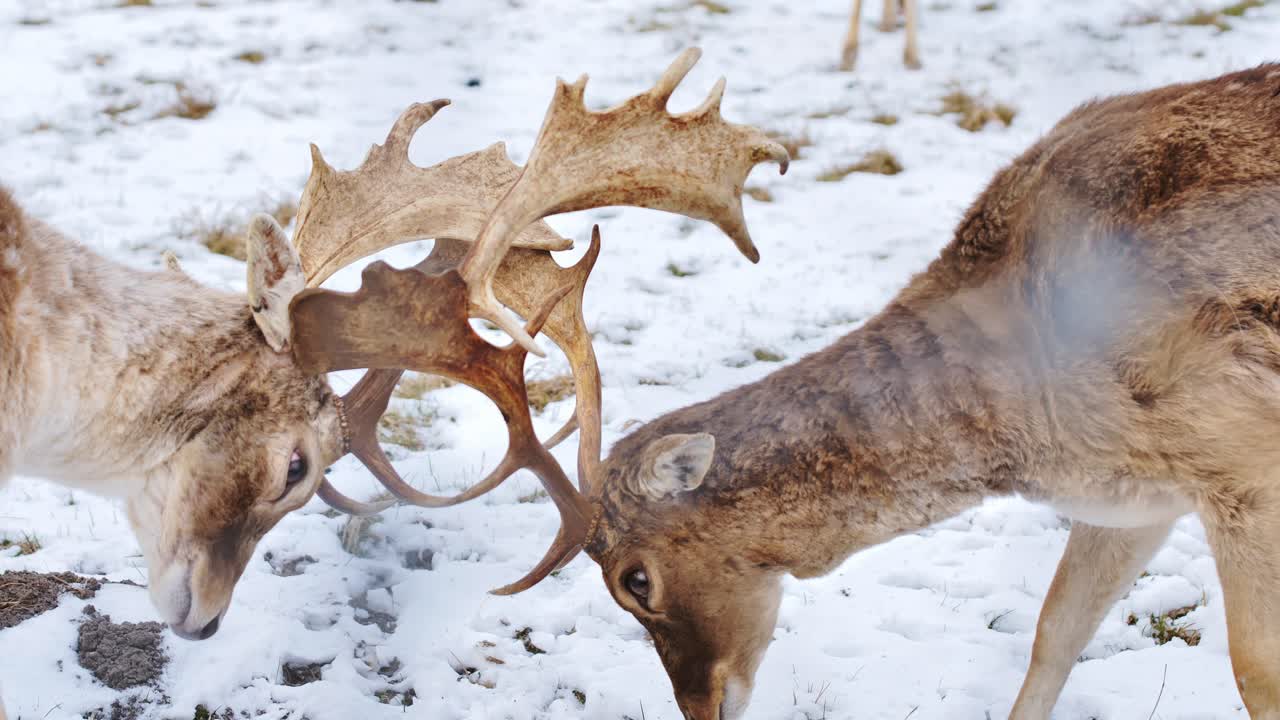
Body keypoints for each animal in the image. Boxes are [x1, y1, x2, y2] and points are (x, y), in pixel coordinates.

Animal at [265, 56, 1280, 719]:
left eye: (635, 580)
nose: (701, 708)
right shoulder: (1138, 499)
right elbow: (1053, 634)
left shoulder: (1240, 461)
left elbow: (1253, 671)